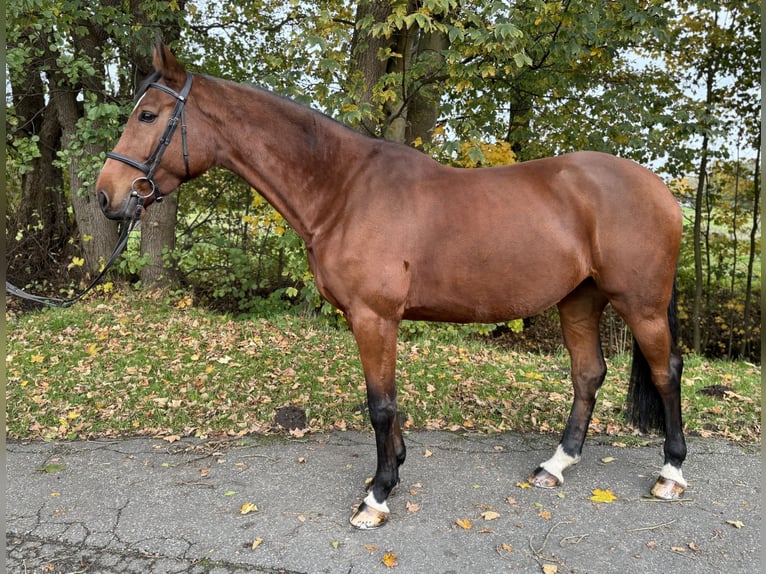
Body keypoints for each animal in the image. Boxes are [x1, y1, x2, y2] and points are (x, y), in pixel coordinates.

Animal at [96, 40, 687, 529]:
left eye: (148, 114)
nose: (107, 195)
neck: (343, 190)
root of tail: (660, 188)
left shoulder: (374, 316)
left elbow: (379, 404)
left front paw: (377, 496)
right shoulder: (375, 320)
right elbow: (388, 399)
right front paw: (393, 468)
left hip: (641, 305)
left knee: (666, 372)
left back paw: (671, 473)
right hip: (579, 300)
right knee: (588, 374)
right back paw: (557, 465)